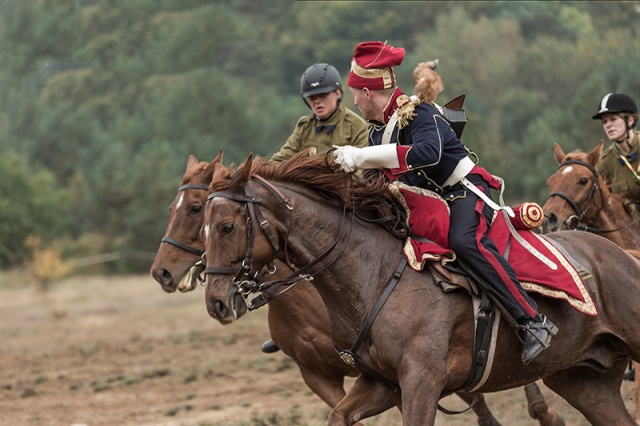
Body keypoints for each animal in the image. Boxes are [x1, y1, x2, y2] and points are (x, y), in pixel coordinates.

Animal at [201, 153, 640, 426]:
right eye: (201, 227)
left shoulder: (421, 384)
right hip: (583, 382)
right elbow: (338, 414)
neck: (376, 273)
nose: (217, 302)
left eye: (226, 226)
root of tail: (621, 254)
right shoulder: (380, 384)